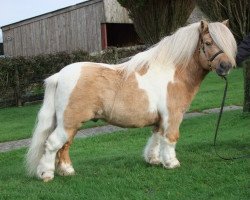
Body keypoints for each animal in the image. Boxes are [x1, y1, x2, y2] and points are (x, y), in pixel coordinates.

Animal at [25, 20, 236, 181]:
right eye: (208, 42)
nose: (226, 66)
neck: (174, 73)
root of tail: (59, 75)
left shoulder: (160, 119)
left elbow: (156, 138)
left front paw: (154, 160)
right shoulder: (173, 116)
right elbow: (170, 138)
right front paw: (172, 163)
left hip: (71, 124)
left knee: (64, 145)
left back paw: (67, 171)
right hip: (69, 122)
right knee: (53, 144)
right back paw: (46, 174)